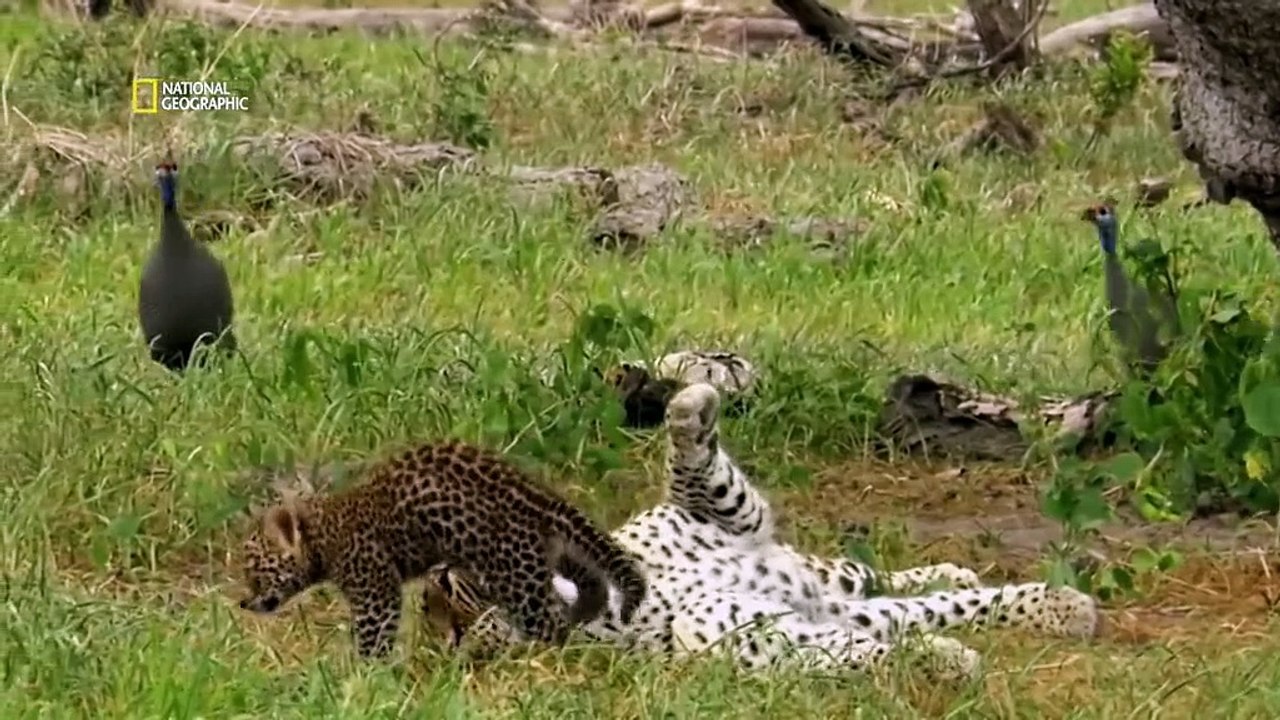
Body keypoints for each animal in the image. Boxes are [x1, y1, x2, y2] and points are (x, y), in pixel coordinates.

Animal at [236, 439, 648, 659]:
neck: (324, 534)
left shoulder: (375, 590)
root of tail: (534, 496)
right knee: (589, 578)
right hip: (548, 554)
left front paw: (364, 674)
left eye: (255, 572)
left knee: (549, 623)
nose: (244, 602)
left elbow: (372, 634)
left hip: (514, 574)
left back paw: (548, 657)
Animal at [420, 384, 1100, 679]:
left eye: (453, 584)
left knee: (866, 573)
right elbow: (886, 636)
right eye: (447, 608)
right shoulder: (753, 628)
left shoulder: (716, 515)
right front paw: (944, 658)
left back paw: (955, 569)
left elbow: (692, 465)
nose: (455, 629)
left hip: (814, 569)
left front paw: (691, 403)